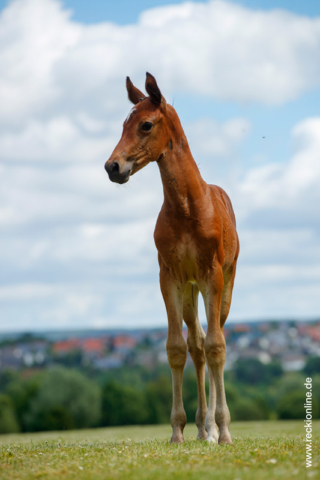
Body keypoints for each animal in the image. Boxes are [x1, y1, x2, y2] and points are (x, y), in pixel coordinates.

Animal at [105, 73, 240, 444]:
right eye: (123, 124)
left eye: (146, 124)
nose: (112, 166)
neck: (187, 208)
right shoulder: (169, 277)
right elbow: (177, 348)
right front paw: (178, 431)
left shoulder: (212, 274)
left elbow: (217, 347)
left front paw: (223, 430)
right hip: (190, 291)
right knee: (196, 344)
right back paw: (201, 428)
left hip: (223, 284)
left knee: (214, 339)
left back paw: (212, 429)